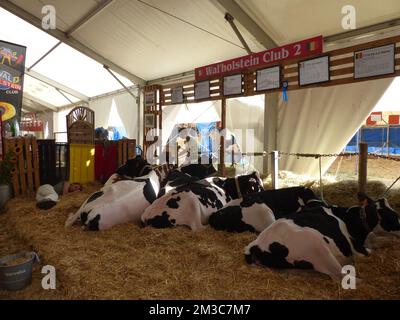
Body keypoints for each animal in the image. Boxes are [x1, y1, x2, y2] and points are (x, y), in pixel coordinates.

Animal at [244, 192, 400, 280]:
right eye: (393, 216)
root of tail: (256, 245)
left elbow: (382, 240)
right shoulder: (359, 250)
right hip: (317, 247)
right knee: (341, 276)